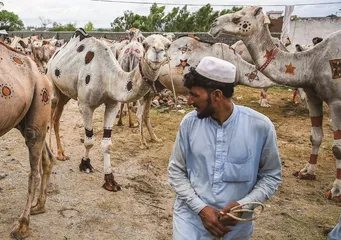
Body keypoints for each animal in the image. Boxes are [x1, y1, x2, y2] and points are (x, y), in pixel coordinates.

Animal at [47, 29, 169, 192]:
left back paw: (61, 154)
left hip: (65, 94)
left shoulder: (112, 105)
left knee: (56, 118)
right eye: (145, 44)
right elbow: (89, 140)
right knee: (50, 114)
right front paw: (85, 164)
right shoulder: (85, 105)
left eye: (168, 45)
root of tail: (54, 54)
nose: (157, 51)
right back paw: (50, 152)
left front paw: (110, 180)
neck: (108, 77)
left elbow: (107, 144)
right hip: (51, 82)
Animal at [209, 6, 340, 199]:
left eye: (237, 18)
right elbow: (316, 136)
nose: (213, 25)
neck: (313, 62)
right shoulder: (314, 95)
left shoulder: (335, 100)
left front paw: (335, 189)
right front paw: (307, 172)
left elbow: (334, 146)